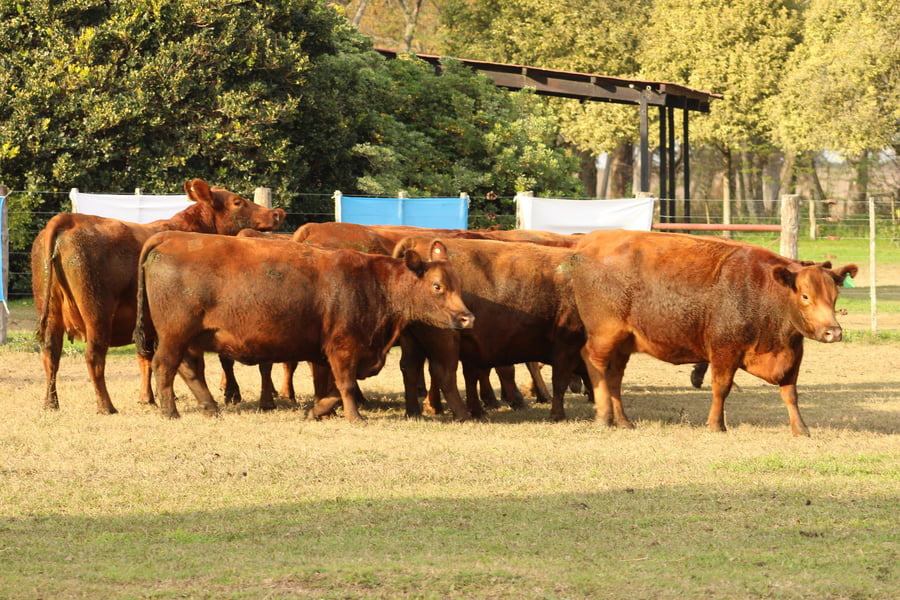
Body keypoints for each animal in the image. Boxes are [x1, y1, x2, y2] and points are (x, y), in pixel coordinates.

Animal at [31, 179, 286, 414]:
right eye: (238, 202)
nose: (276, 213)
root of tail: (69, 219)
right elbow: (209, 360)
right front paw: (228, 394)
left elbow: (146, 358)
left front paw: (148, 399)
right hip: (97, 312)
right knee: (94, 355)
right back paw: (106, 406)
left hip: (51, 312)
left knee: (50, 354)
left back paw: (50, 403)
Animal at [133, 231, 475, 421]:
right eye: (437, 287)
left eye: (458, 285)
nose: (467, 317)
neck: (373, 284)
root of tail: (171, 236)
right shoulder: (343, 347)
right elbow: (347, 385)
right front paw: (354, 417)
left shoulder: (336, 352)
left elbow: (337, 386)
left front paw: (317, 410)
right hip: (175, 333)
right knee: (165, 366)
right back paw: (170, 411)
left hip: (190, 337)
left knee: (190, 369)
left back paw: (210, 408)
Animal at [391, 236, 586, 421]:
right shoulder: (566, 346)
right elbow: (559, 380)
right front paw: (557, 414)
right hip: (445, 343)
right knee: (443, 373)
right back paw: (462, 414)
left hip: (412, 343)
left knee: (410, 368)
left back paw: (414, 412)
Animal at [570, 229, 857, 436]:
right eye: (805, 296)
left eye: (834, 295)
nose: (833, 332)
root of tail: (585, 243)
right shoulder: (724, 351)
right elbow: (722, 387)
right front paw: (716, 424)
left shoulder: (793, 355)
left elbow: (790, 393)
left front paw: (800, 428)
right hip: (605, 334)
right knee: (593, 361)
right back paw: (604, 416)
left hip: (624, 342)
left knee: (615, 376)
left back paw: (622, 420)